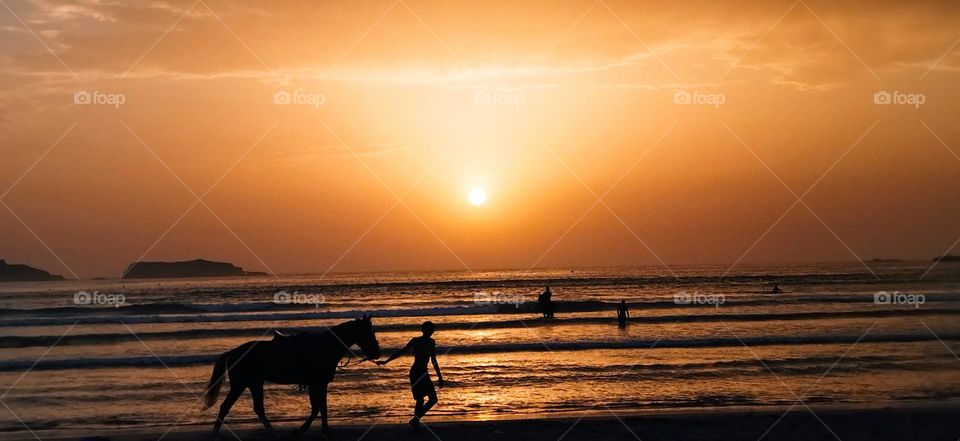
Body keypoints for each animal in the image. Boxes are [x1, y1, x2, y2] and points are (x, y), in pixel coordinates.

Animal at [203, 314, 382, 434]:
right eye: (367, 332)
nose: (376, 352)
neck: (325, 347)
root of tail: (233, 352)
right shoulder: (316, 383)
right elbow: (317, 408)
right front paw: (304, 429)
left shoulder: (319, 384)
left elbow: (321, 408)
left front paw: (323, 429)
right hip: (240, 384)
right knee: (226, 407)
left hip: (254, 383)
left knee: (258, 408)